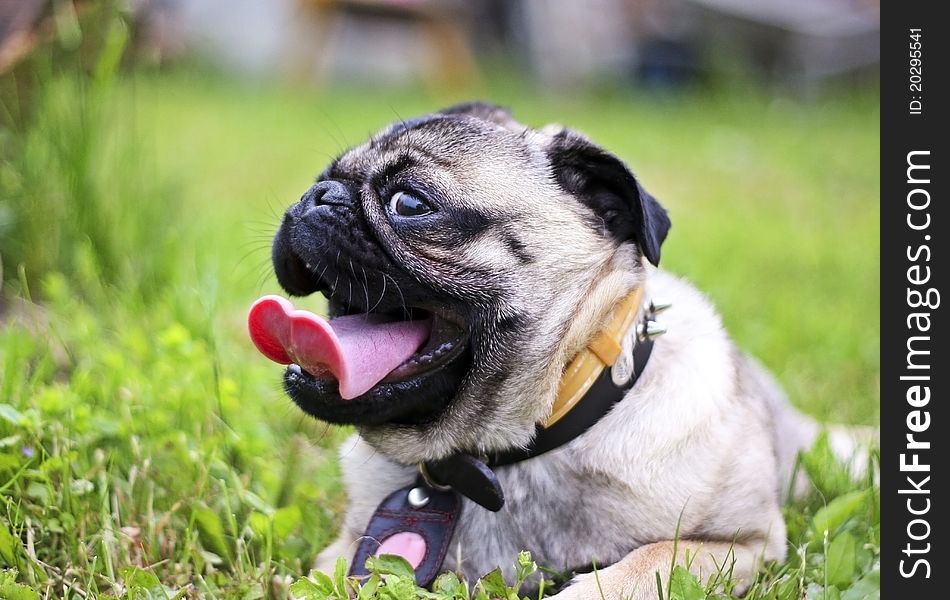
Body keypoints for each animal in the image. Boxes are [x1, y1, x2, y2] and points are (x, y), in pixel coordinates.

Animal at [256, 104, 868, 600]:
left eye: (410, 203)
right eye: (324, 179)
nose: (317, 197)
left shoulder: (737, 545)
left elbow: (643, 564)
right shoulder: (351, 550)